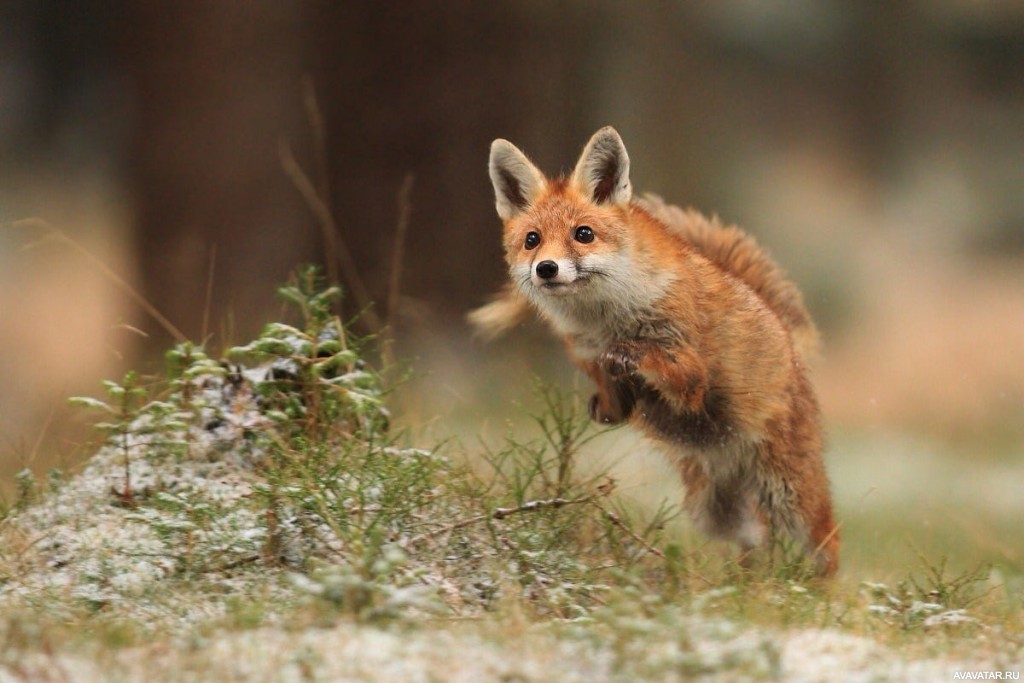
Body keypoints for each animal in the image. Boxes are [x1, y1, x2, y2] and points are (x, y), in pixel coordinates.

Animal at [471, 125, 839, 573]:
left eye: (583, 234)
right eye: (532, 240)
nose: (546, 269)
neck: (608, 320)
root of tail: (789, 344)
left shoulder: (691, 372)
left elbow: (657, 361)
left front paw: (630, 357)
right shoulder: (584, 352)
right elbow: (610, 393)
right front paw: (609, 404)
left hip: (792, 495)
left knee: (829, 543)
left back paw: (819, 590)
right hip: (716, 512)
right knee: (757, 538)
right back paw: (751, 582)